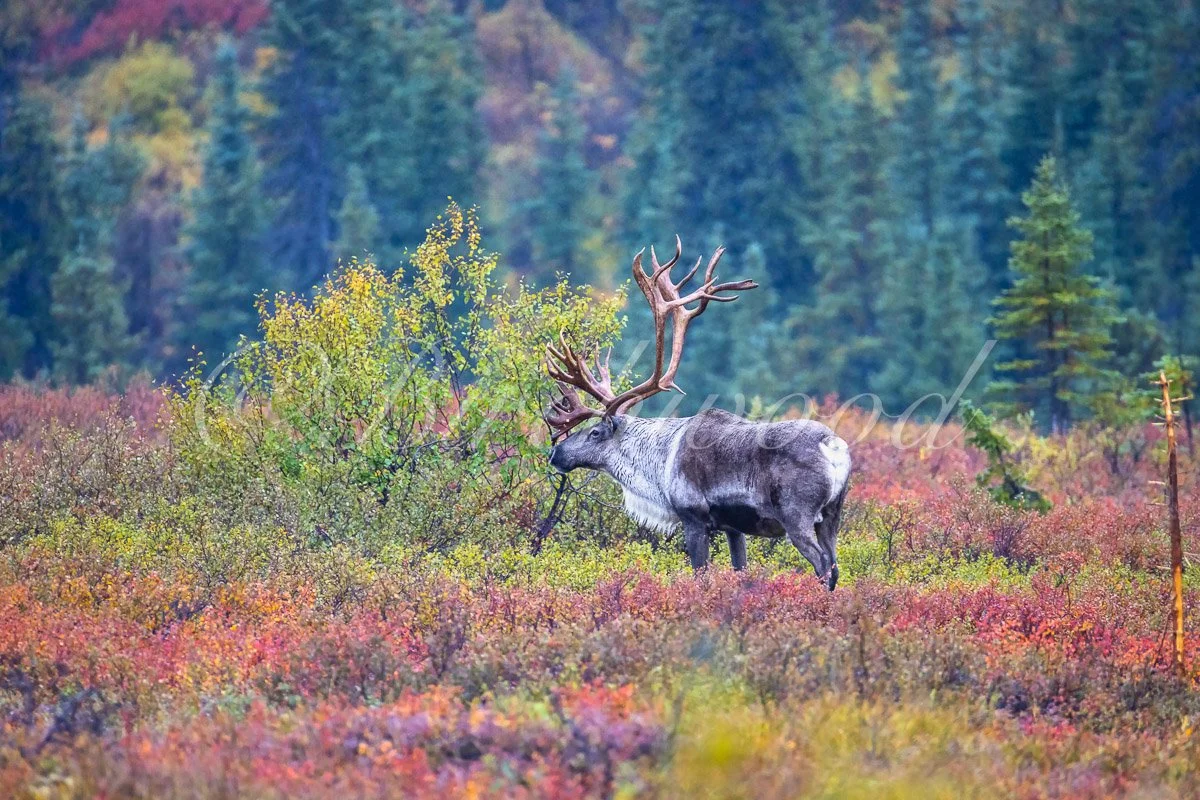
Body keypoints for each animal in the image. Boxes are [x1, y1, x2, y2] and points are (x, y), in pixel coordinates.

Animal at [544, 237, 851, 590]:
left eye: (595, 433)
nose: (556, 452)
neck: (659, 463)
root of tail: (832, 446)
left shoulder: (694, 518)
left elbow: (700, 575)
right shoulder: (733, 528)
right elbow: (740, 570)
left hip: (796, 515)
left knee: (823, 565)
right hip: (833, 515)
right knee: (835, 563)